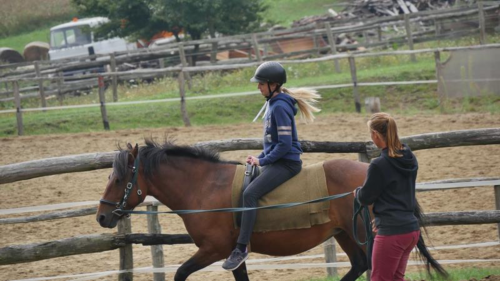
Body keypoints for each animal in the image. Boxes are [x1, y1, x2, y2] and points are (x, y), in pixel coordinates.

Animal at [97, 139, 446, 278]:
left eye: (118, 178)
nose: (102, 216)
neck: (204, 187)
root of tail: (368, 172)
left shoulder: (213, 250)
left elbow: (181, 273)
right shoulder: (232, 255)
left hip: (366, 234)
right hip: (346, 233)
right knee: (360, 265)